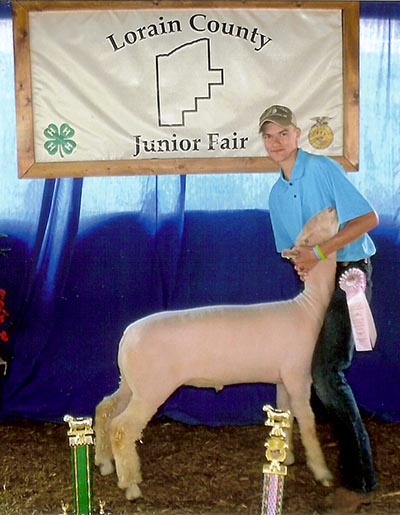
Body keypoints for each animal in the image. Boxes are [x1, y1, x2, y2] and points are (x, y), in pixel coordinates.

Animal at [94, 206, 338, 500]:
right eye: (312, 229)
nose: (332, 208)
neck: (308, 308)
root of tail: (126, 337)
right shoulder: (299, 375)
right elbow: (308, 422)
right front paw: (322, 472)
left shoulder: (282, 378)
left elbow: (286, 414)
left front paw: (286, 456)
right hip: (151, 388)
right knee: (122, 428)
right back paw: (130, 485)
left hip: (132, 383)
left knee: (105, 409)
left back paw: (104, 463)